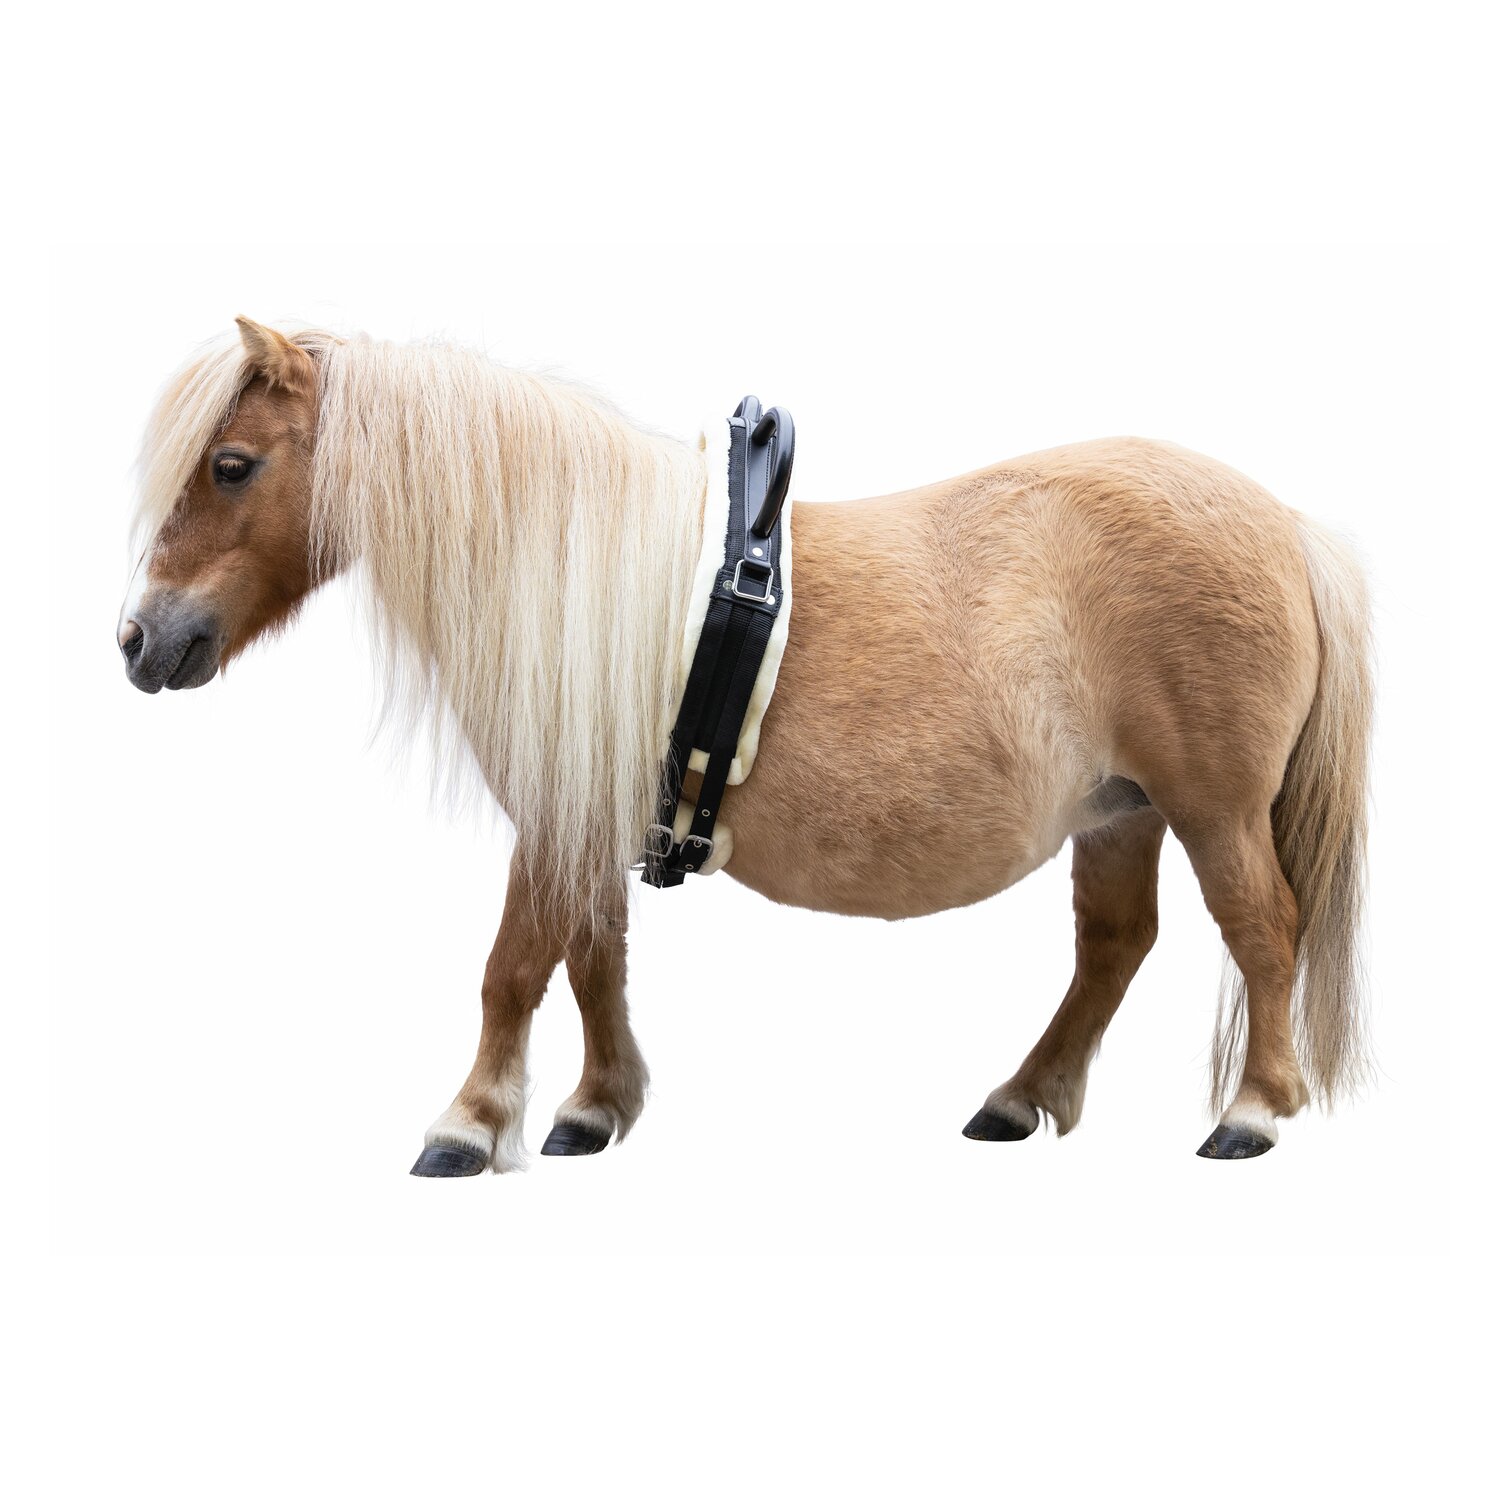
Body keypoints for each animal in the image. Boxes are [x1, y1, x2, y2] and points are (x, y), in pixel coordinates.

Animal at [118, 317, 1373, 1172]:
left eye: (231, 465)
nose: (140, 640)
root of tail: (1286, 526)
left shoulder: (560, 817)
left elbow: (515, 968)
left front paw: (469, 1125)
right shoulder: (591, 820)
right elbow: (594, 959)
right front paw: (594, 1108)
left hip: (1213, 811)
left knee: (1262, 931)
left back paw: (1251, 1113)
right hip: (1121, 811)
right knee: (1114, 949)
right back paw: (1020, 1098)